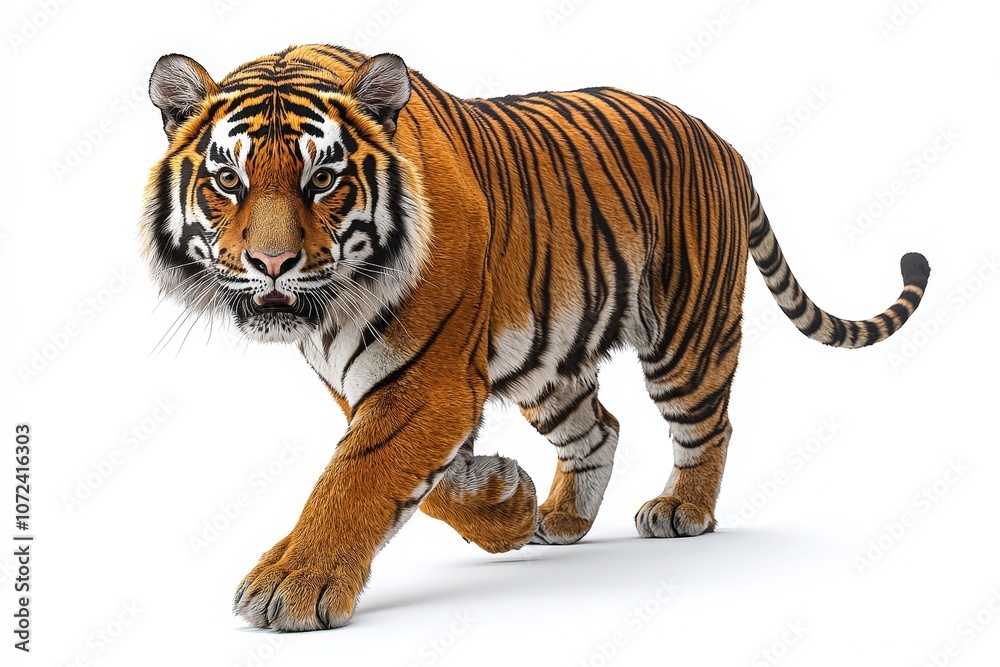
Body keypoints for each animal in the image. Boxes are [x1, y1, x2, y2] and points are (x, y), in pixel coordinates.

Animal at [140, 44, 930, 631]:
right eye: (228, 180)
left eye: (324, 178)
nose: (271, 263)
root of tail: (723, 141)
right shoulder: (380, 382)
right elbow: (418, 482)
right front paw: (505, 502)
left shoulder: (426, 381)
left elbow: (356, 476)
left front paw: (290, 585)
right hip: (547, 363)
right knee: (599, 428)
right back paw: (559, 518)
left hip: (687, 335)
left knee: (709, 425)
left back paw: (683, 510)